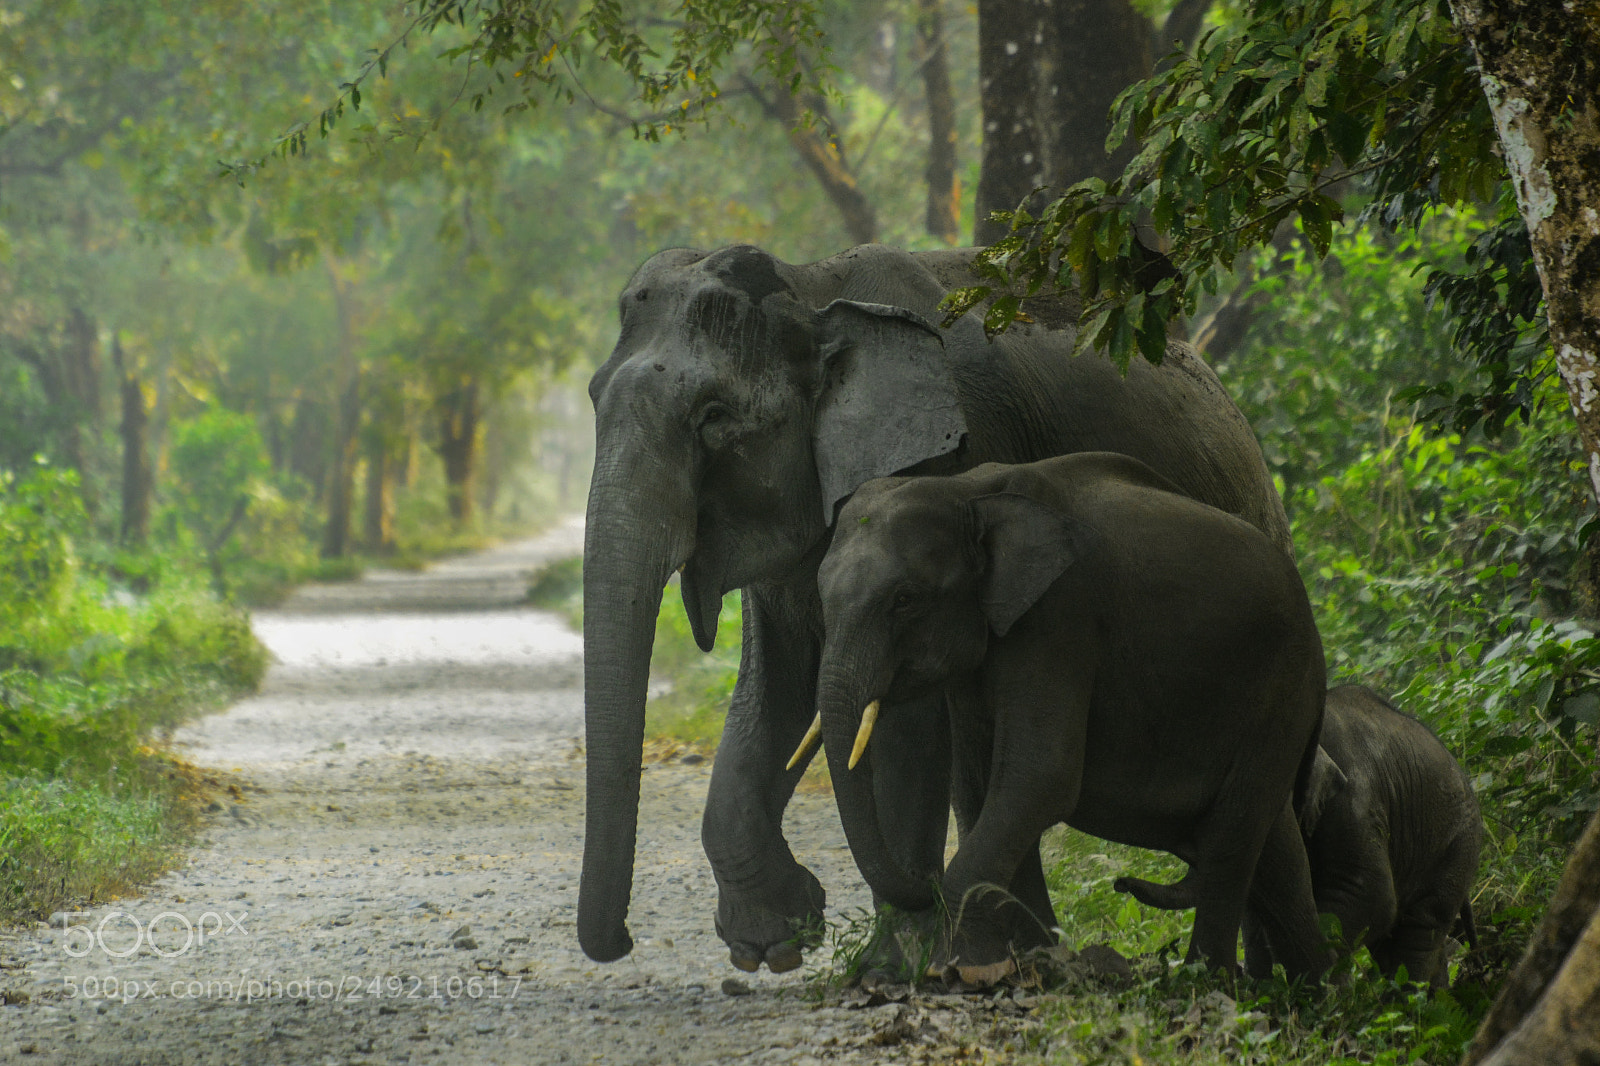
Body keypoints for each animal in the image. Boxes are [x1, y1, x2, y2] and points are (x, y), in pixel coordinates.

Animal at [808, 452, 1331, 982]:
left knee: (1232, 835)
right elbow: (982, 786)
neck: (968, 491)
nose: (924, 881)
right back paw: (1318, 989)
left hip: (1284, 689)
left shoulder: (1060, 617)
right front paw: (1028, 959)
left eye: (905, 599)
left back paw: (1208, 979)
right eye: (821, 596)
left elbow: (1039, 777)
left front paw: (959, 971)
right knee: (1272, 844)